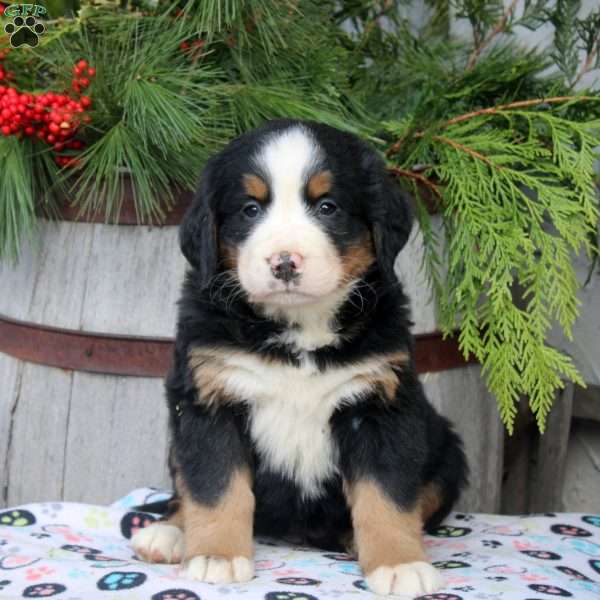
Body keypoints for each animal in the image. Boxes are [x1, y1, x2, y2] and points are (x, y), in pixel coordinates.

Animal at [132, 118, 468, 596]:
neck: (298, 333)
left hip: (446, 450)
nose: (284, 262)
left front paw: (400, 563)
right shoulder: (210, 401)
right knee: (185, 485)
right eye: (250, 210)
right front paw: (217, 555)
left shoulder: (381, 406)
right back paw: (171, 533)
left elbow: (387, 495)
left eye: (327, 207)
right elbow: (214, 486)